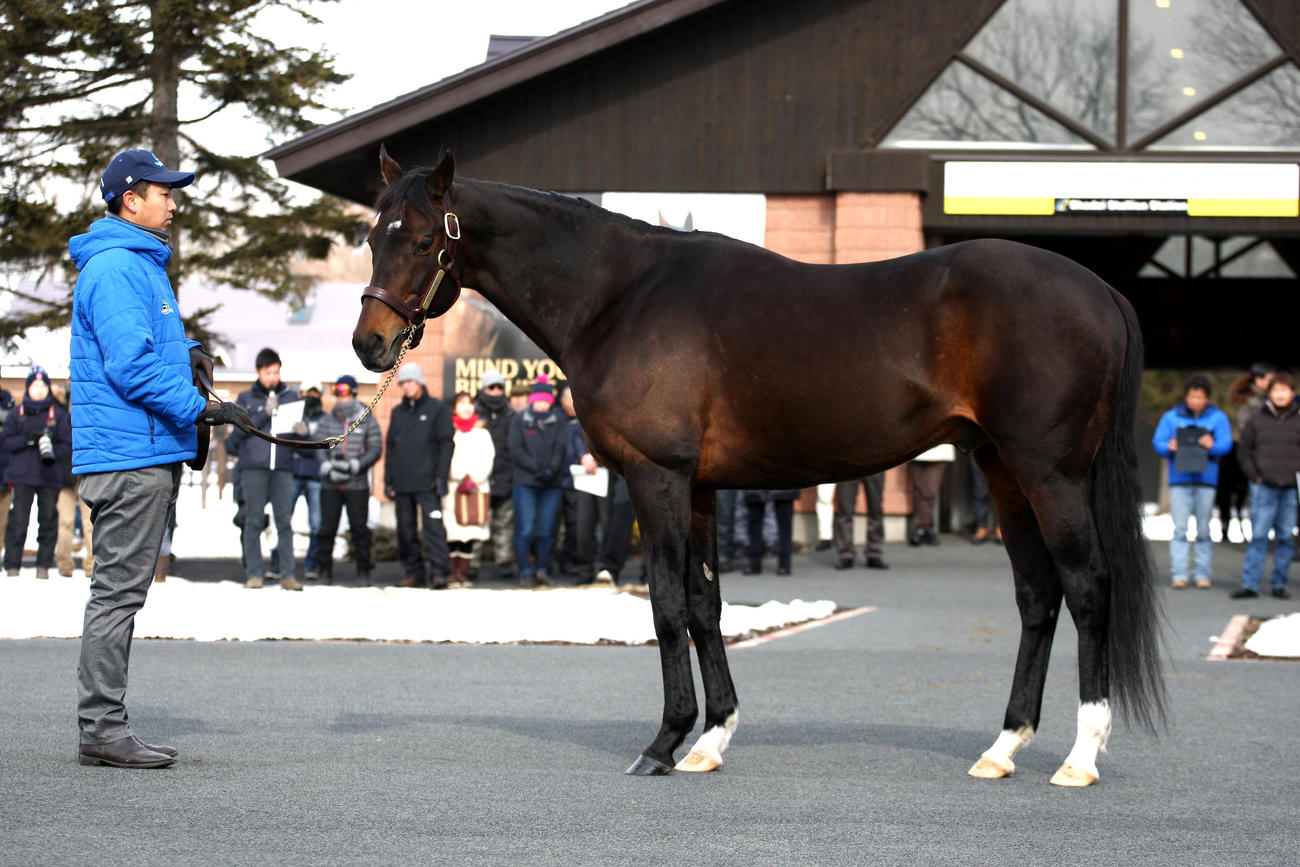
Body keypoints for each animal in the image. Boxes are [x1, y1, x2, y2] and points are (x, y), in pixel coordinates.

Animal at [352, 149, 1165, 787]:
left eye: (421, 239)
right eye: (369, 235)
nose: (370, 343)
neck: (619, 295)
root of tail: (1100, 289)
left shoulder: (656, 476)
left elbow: (666, 605)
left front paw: (663, 743)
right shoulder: (700, 487)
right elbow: (706, 605)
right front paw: (710, 739)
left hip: (1049, 473)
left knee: (1088, 587)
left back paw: (1081, 756)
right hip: (1003, 469)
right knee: (1038, 595)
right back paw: (1003, 747)